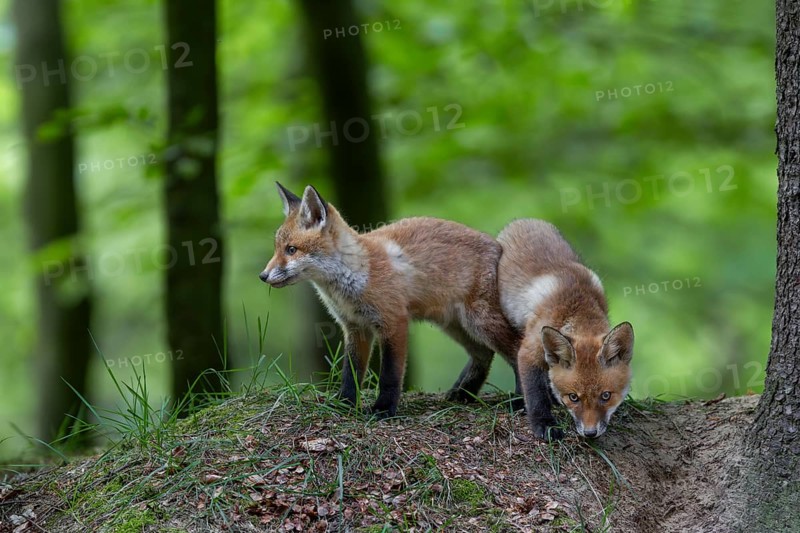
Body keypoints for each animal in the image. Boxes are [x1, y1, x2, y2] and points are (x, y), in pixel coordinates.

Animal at [259, 183, 521, 418]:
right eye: (277, 249)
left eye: (291, 250)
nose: (262, 276)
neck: (355, 276)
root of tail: (499, 246)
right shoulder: (355, 328)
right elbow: (350, 373)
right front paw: (344, 404)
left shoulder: (393, 322)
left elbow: (389, 375)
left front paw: (383, 409)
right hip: (455, 326)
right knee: (483, 354)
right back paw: (463, 393)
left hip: (480, 322)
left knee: (517, 348)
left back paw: (519, 402)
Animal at [497, 219, 634, 439]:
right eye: (574, 397)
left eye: (606, 396)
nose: (590, 433)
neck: (579, 306)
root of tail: (525, 220)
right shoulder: (529, 350)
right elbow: (535, 395)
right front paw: (544, 424)